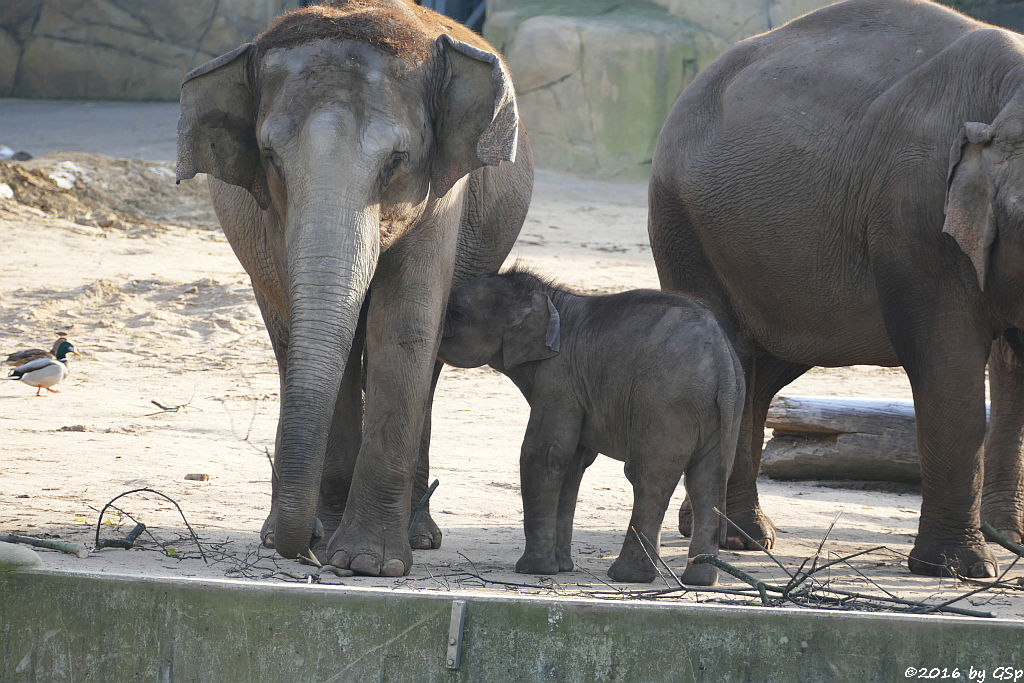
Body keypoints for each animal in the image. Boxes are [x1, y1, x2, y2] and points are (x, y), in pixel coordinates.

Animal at [178, 1, 536, 577]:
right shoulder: (269, 213)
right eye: (270, 157)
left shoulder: (444, 193)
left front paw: (369, 564)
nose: (304, 545)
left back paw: (420, 536)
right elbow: (317, 329)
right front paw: (330, 549)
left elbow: (406, 322)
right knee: (287, 342)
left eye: (396, 160)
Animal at [434, 270, 745, 585]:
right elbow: (573, 462)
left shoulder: (559, 378)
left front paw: (533, 570)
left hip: (666, 403)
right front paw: (562, 567)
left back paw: (628, 576)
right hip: (719, 410)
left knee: (648, 477)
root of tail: (723, 359)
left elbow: (543, 455)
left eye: (456, 311)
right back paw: (700, 579)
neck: (548, 299)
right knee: (706, 482)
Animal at [651, 0, 1024, 581]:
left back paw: (739, 536)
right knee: (730, 354)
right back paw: (734, 539)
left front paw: (1005, 543)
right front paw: (957, 569)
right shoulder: (916, 220)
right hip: (683, 226)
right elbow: (948, 364)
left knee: (760, 367)